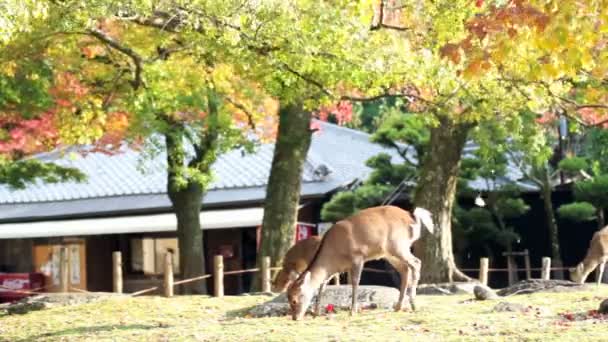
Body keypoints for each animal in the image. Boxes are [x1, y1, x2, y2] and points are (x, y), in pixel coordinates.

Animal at [284, 206, 432, 320]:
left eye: (294, 300)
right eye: (288, 298)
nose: (295, 318)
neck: (333, 257)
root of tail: (411, 218)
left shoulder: (357, 257)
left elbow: (355, 283)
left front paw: (352, 311)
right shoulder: (334, 269)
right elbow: (322, 285)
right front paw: (316, 313)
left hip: (398, 244)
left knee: (416, 262)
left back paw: (413, 304)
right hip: (390, 253)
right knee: (405, 269)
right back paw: (398, 306)